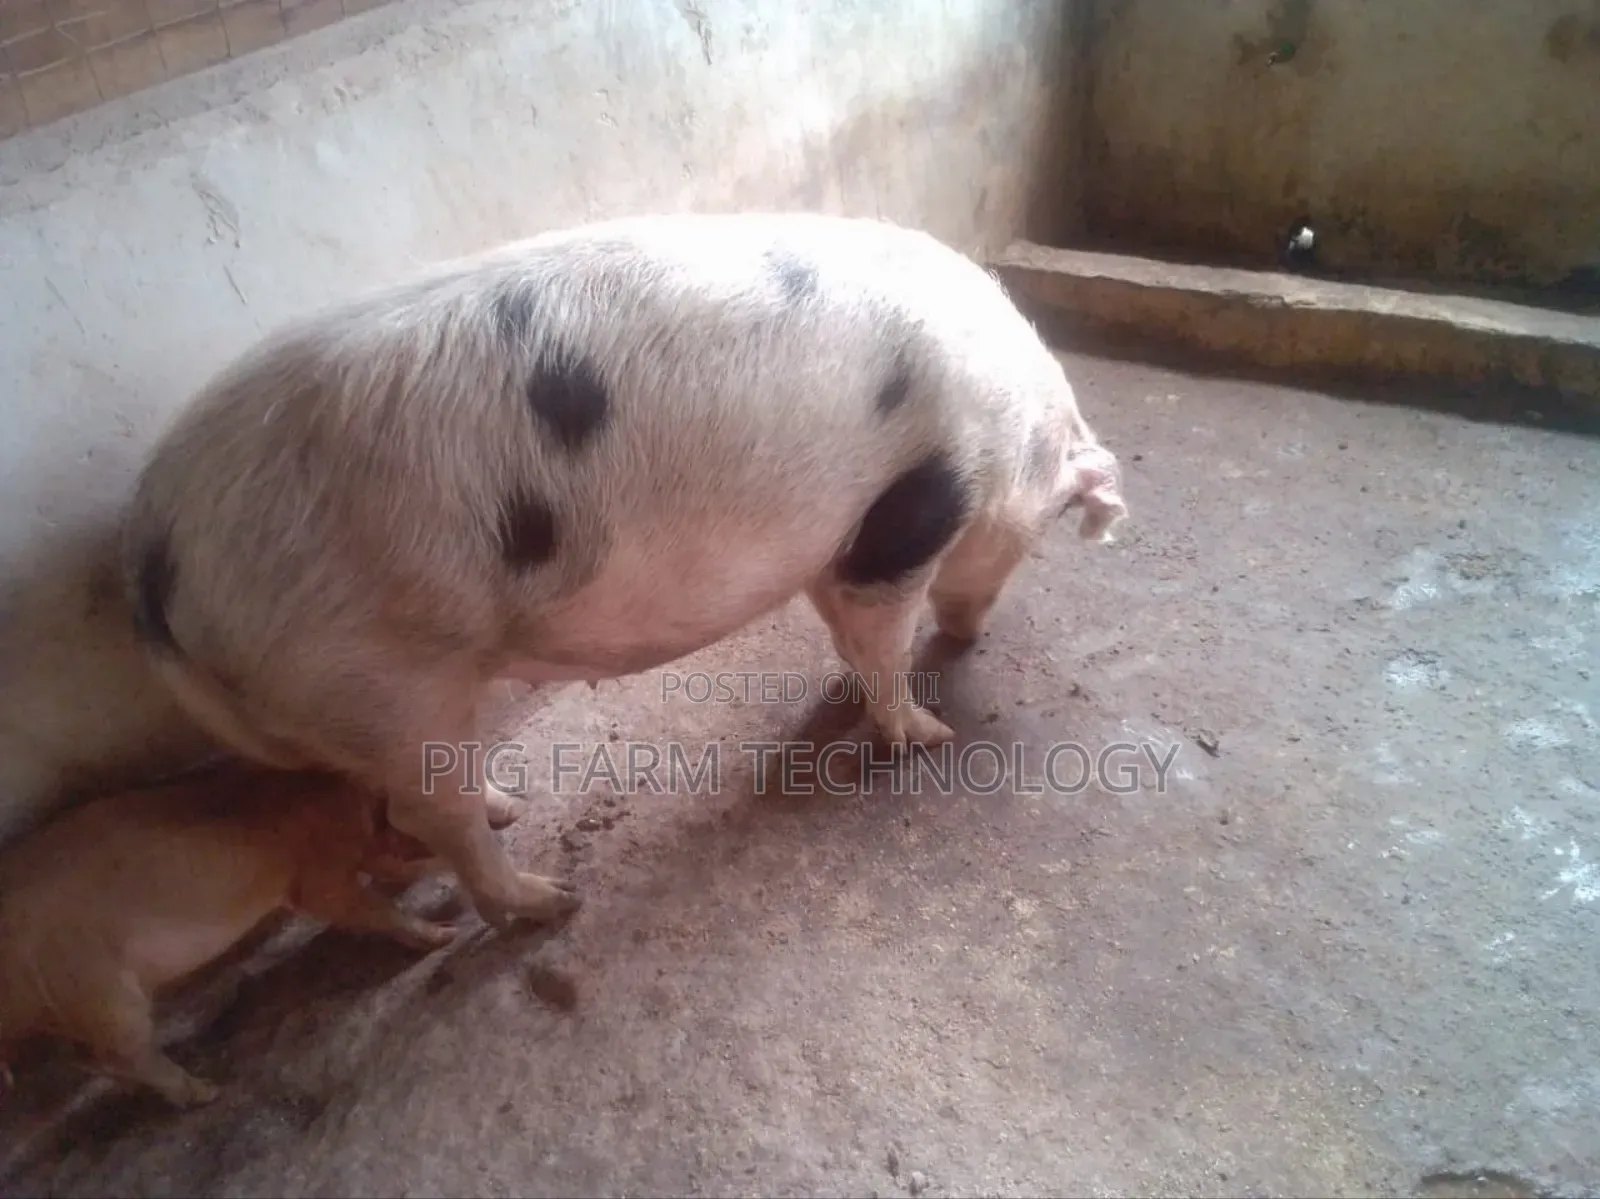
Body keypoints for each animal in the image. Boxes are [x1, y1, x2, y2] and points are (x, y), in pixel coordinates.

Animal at [0, 762, 456, 1107]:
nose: (496, 815)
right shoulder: (317, 876)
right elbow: (364, 903)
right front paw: (444, 935)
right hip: (97, 987)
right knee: (123, 1052)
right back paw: (208, 1092)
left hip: (75, 1003)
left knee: (89, 1056)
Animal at [119, 211, 1128, 932]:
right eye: (1045, 531)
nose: (972, 633)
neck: (1012, 435)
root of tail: (155, 551)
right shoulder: (908, 516)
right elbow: (878, 636)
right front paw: (927, 733)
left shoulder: (835, 540)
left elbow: (844, 629)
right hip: (372, 669)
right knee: (431, 815)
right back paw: (549, 902)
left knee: (429, 793)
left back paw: (509, 808)